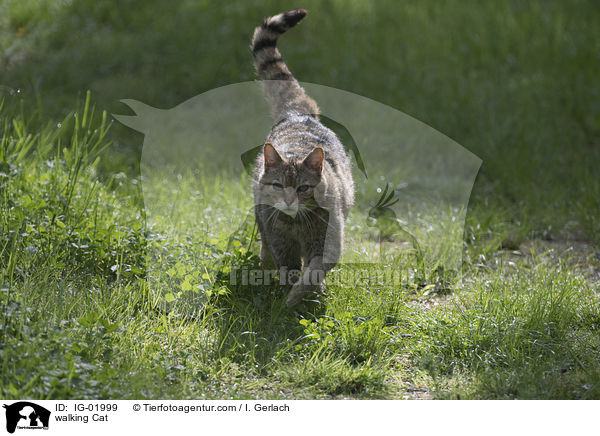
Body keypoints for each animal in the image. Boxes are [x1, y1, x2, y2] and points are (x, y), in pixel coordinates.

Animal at [250, 9, 354, 306]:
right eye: (278, 185)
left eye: (303, 188)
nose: (288, 200)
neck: (296, 223)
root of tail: (299, 115)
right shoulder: (281, 243)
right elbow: (290, 269)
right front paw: (288, 297)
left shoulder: (327, 244)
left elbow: (313, 273)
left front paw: (299, 296)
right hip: (261, 217)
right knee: (265, 244)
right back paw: (264, 264)